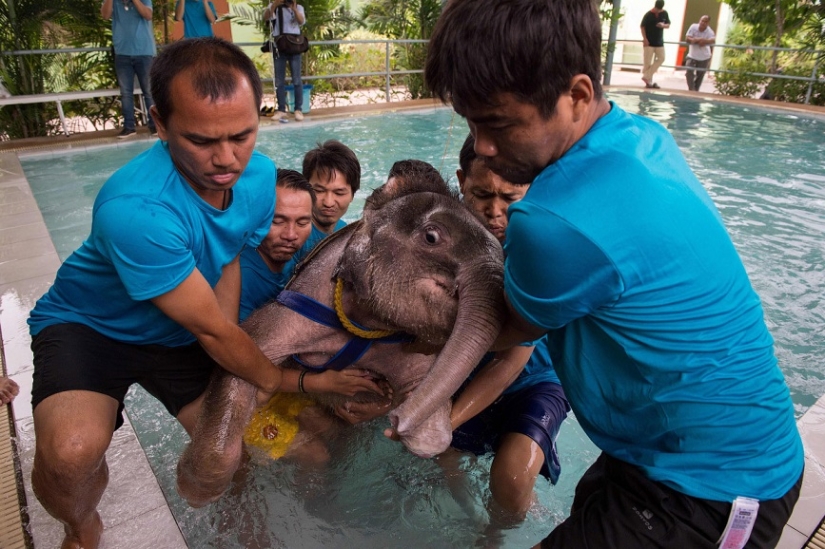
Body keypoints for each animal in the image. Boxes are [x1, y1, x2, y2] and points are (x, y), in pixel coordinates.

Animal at [176, 162, 505, 508]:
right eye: (431, 236)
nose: (395, 423)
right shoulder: (298, 306)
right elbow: (246, 351)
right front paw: (196, 489)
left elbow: (432, 425)